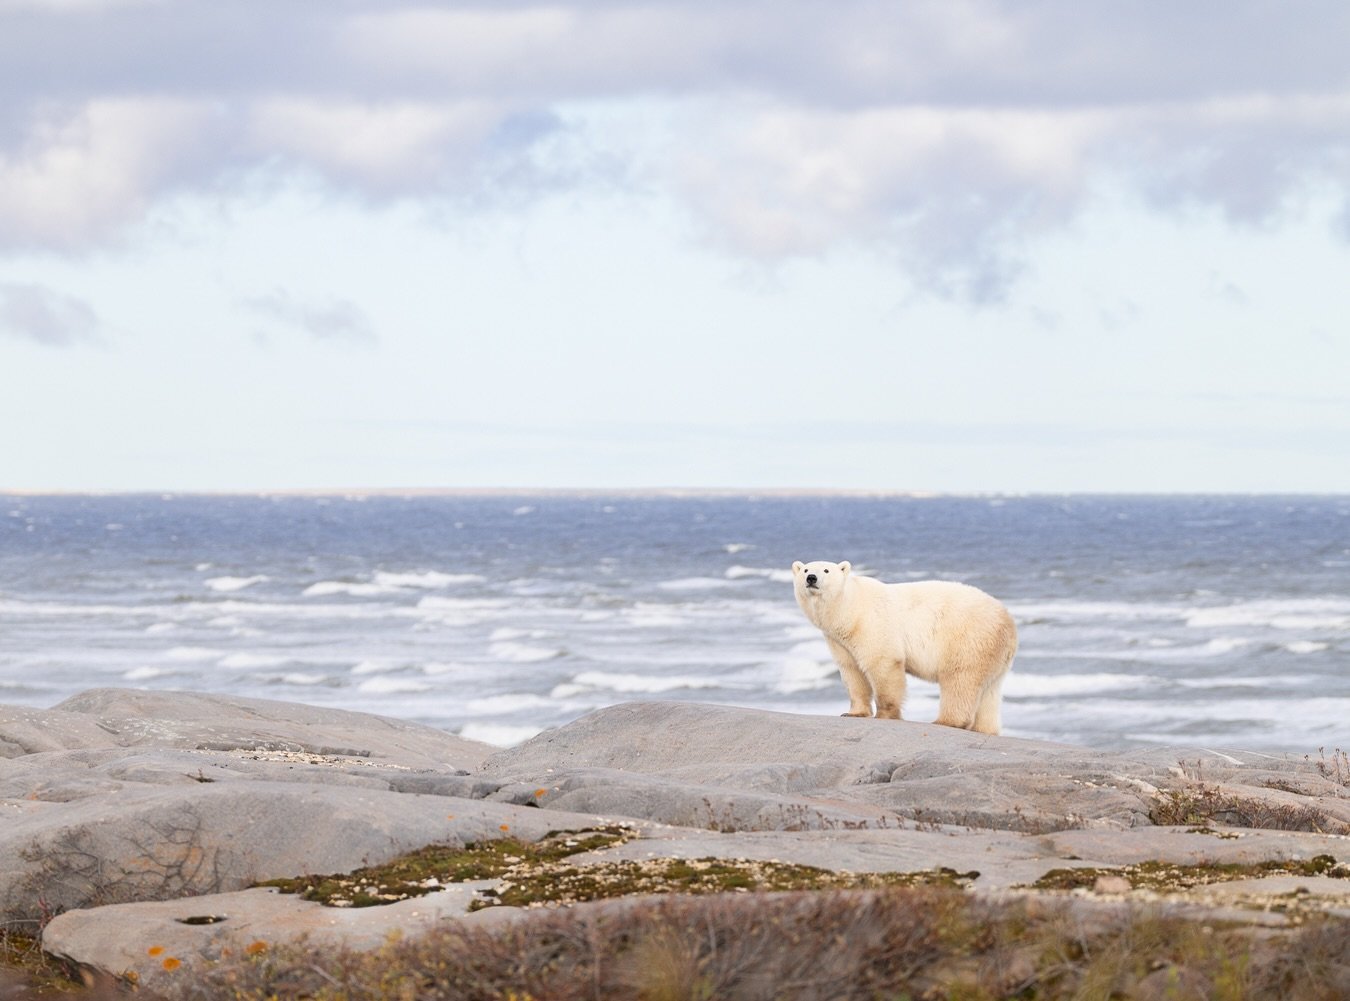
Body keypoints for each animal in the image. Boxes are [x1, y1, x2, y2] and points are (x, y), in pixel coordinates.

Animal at [791, 560, 1016, 735]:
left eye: (826, 570)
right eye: (805, 569)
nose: (811, 578)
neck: (849, 609)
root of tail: (1009, 623)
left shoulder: (873, 625)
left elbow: (883, 663)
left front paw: (885, 714)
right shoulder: (838, 641)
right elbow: (852, 671)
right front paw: (853, 712)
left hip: (967, 638)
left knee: (960, 678)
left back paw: (946, 721)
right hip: (993, 652)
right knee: (990, 692)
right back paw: (985, 729)